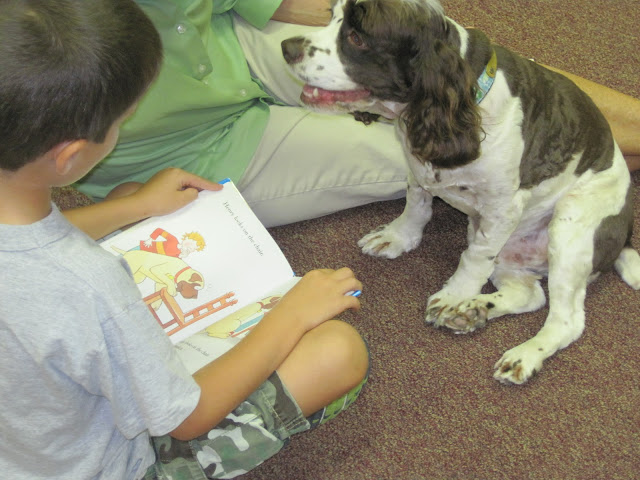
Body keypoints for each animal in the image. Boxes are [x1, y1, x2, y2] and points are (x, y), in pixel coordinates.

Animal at [282, 0, 640, 384]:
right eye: (332, 16)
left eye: (356, 37)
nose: (287, 47)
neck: (459, 105)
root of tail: (625, 233)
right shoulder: (418, 169)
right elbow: (416, 205)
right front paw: (397, 237)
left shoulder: (503, 208)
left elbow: (474, 258)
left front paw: (454, 295)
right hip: (511, 250)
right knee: (530, 294)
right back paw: (477, 309)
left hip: (569, 228)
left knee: (566, 320)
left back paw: (522, 353)